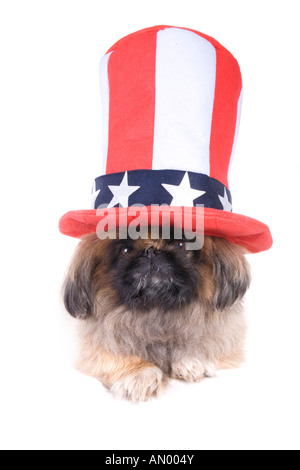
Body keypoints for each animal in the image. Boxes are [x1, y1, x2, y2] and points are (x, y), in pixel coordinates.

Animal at [63, 230, 251, 400]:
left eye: (180, 244)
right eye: (125, 250)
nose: (151, 251)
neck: (157, 310)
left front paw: (193, 359)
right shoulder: (93, 345)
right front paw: (139, 372)